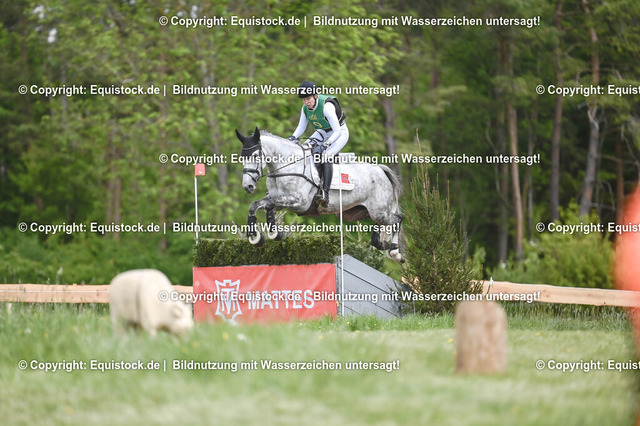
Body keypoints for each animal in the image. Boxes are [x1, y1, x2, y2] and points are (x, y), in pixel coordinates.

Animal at [236, 127, 405, 263]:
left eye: (256, 156)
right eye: (242, 157)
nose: (247, 186)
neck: (287, 166)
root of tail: (381, 170)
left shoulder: (300, 202)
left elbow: (268, 205)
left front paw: (267, 234)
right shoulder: (277, 199)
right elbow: (256, 206)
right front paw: (259, 236)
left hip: (379, 211)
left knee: (397, 219)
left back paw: (396, 253)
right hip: (357, 212)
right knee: (383, 223)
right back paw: (379, 242)